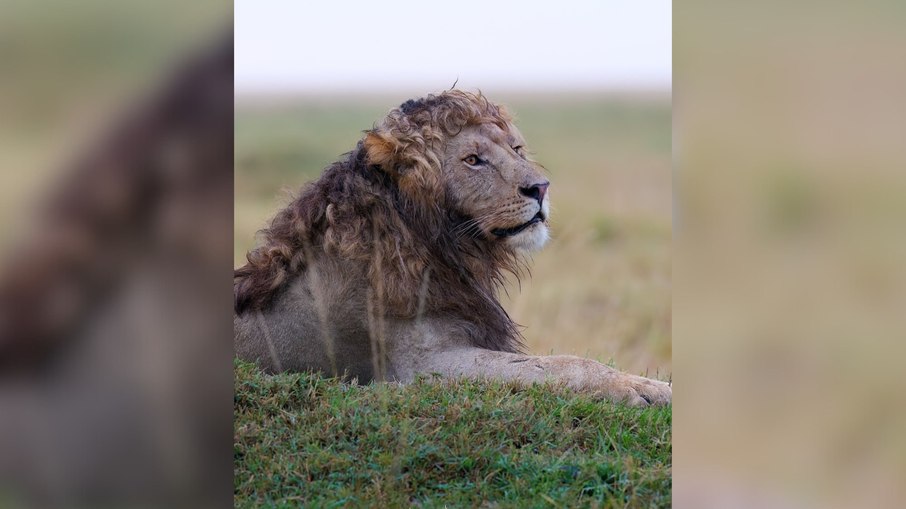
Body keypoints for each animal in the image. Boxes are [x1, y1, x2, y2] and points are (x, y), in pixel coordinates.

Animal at [234, 90, 671, 407]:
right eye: (473, 160)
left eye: (515, 149)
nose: (541, 188)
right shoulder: (423, 367)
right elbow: (563, 364)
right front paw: (641, 388)